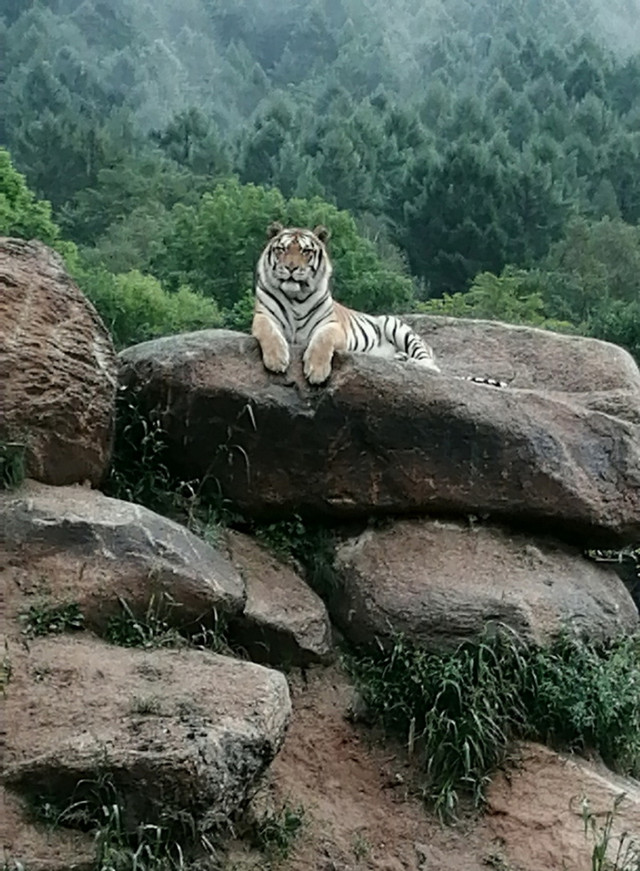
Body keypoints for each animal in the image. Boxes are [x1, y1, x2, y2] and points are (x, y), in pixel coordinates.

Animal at [252, 222, 442, 385]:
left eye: (306, 251)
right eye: (281, 249)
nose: (291, 268)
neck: (295, 297)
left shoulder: (332, 325)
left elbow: (322, 340)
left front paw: (317, 372)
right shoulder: (263, 316)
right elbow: (268, 331)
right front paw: (276, 361)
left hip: (393, 324)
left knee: (432, 365)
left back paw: (412, 362)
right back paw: (399, 357)